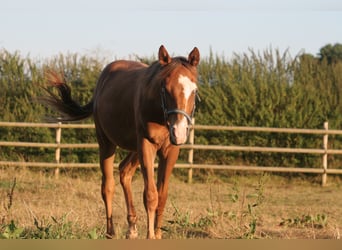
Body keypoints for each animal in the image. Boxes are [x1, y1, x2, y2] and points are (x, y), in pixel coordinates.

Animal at [44, 46, 202, 239]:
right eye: (164, 88)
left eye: (194, 90)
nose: (178, 131)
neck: (158, 111)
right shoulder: (146, 145)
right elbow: (151, 195)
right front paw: (150, 236)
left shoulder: (170, 150)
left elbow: (162, 195)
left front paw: (157, 235)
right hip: (107, 143)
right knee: (108, 186)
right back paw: (111, 233)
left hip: (134, 149)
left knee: (124, 171)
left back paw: (132, 228)